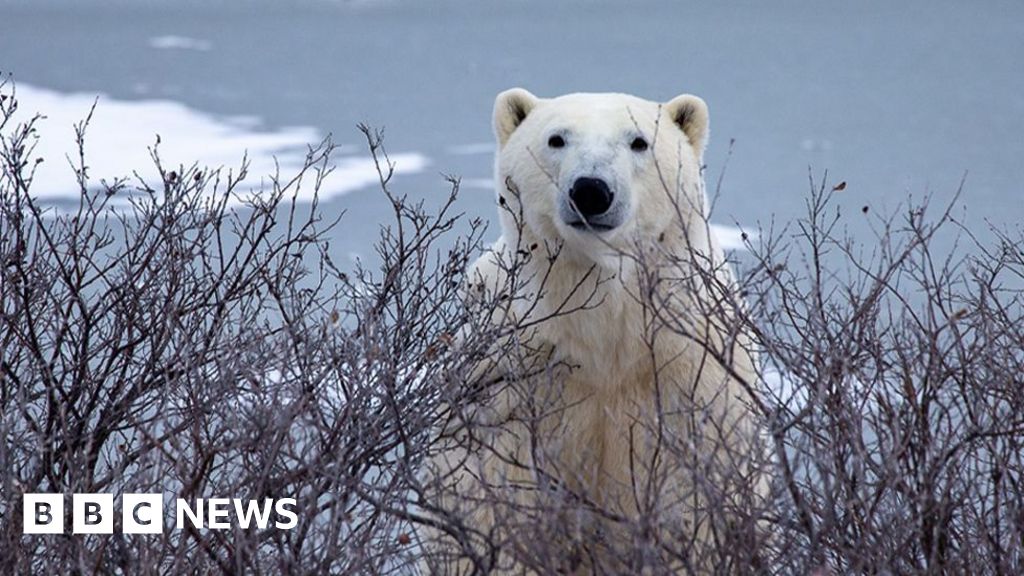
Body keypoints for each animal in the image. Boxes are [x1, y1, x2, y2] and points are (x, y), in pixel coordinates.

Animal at [422, 89, 764, 574]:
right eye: (556, 138)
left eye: (639, 141)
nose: (591, 190)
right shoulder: (510, 376)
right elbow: (494, 491)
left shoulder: (689, 371)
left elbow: (691, 496)